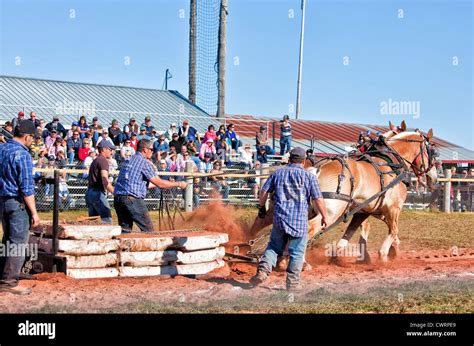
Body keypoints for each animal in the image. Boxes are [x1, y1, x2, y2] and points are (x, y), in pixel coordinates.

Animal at [250, 122, 436, 264]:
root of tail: (317, 169)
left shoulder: (363, 211)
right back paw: (299, 262)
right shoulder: (392, 209)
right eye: (432, 152)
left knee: (269, 222)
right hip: (331, 211)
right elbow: (393, 231)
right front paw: (384, 256)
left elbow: (349, 235)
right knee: (307, 229)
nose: (433, 178)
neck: (390, 162)